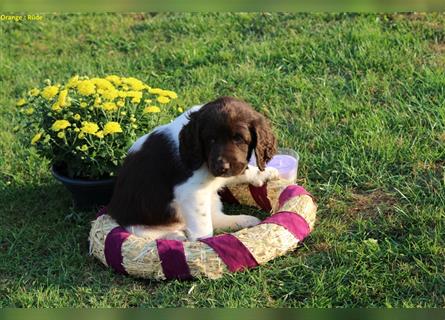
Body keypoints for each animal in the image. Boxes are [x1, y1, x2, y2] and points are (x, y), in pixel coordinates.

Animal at [106, 96, 278, 241]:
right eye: (210, 140)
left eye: (239, 139)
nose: (221, 167)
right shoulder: (191, 192)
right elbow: (203, 225)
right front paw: (203, 242)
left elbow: (242, 169)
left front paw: (263, 173)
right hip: (141, 223)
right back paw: (176, 235)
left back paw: (243, 220)